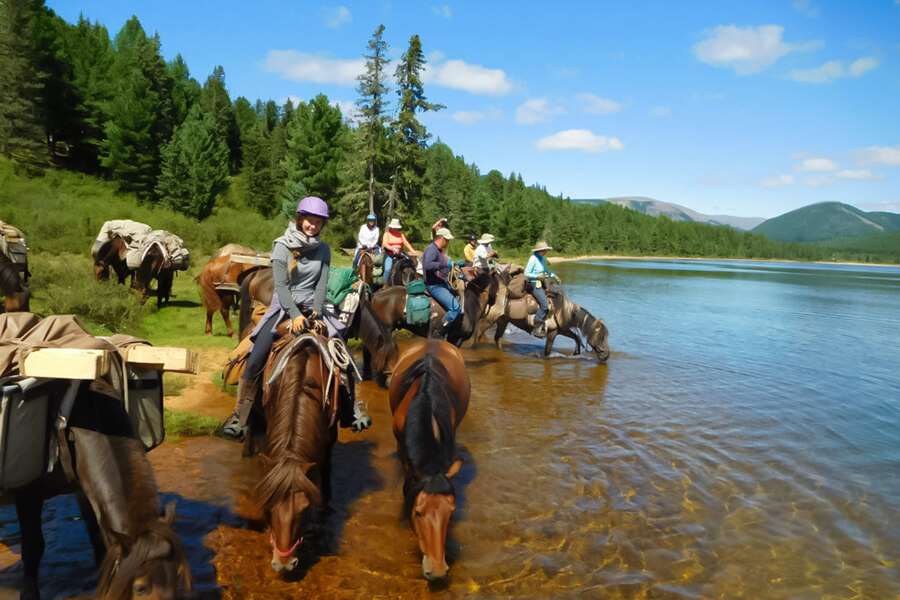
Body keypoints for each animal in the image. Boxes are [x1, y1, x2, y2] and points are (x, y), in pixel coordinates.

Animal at [11, 382, 192, 600]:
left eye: (175, 578)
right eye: (140, 588)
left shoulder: (84, 489)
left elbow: (97, 537)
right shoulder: (27, 494)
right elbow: (32, 548)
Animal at [370, 270, 502, 350]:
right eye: (497, 284)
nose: (495, 299)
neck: (470, 306)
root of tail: (377, 294)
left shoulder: (452, 338)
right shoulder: (457, 339)